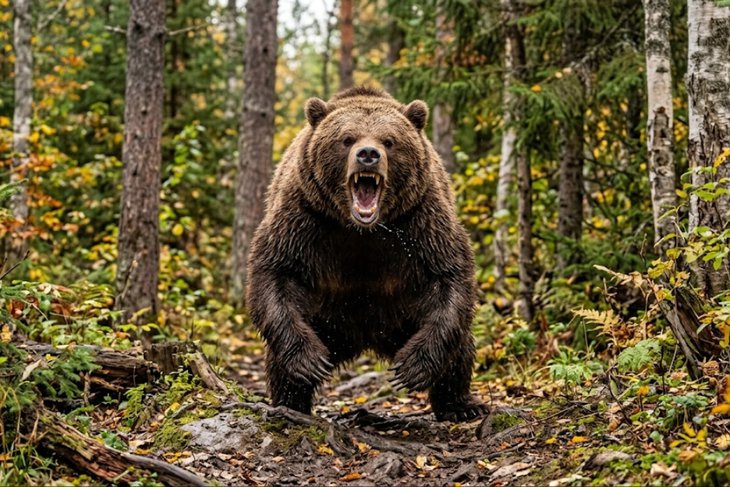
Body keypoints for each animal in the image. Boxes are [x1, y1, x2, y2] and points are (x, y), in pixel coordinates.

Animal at [246, 86, 486, 422]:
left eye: (389, 140)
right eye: (347, 138)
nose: (368, 155)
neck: (362, 229)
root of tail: (365, 338)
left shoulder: (421, 220)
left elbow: (449, 276)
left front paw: (413, 367)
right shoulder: (304, 216)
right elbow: (275, 271)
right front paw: (309, 362)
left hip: (402, 315)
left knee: (459, 345)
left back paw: (461, 405)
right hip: (326, 318)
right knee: (280, 354)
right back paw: (290, 403)